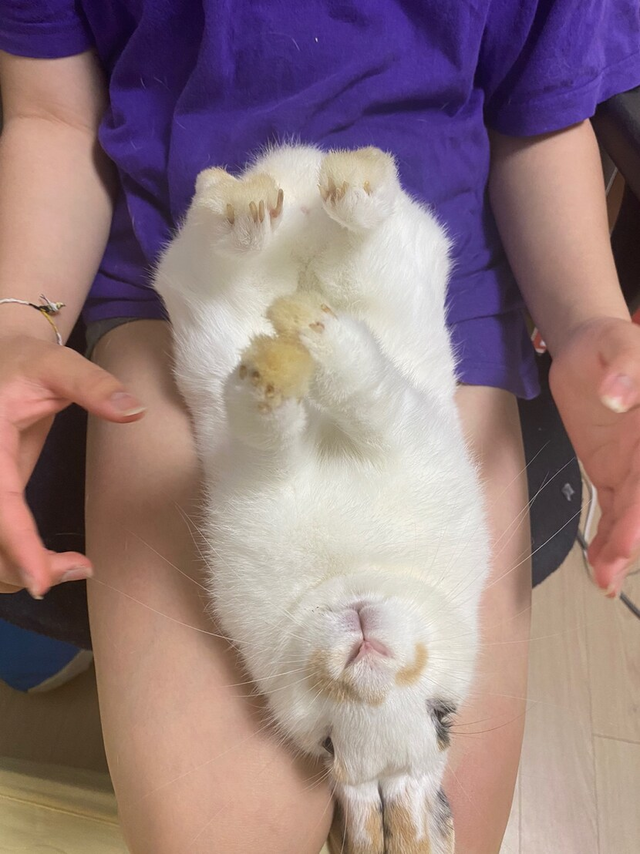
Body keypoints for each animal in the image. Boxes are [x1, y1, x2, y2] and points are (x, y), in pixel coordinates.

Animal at [154, 144, 490, 853]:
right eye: (328, 744)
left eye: (441, 717)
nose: (364, 657)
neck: (351, 569)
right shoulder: (281, 469)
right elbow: (285, 418)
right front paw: (279, 364)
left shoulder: (397, 429)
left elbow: (357, 394)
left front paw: (297, 350)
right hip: (217, 271)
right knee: (252, 221)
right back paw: (277, 203)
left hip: (369, 261)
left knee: (337, 235)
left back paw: (313, 202)